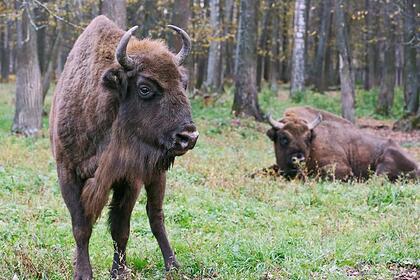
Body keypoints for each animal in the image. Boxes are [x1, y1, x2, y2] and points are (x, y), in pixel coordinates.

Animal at [49, 16, 199, 278]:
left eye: (183, 83)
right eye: (145, 88)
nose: (188, 136)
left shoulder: (129, 179)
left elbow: (120, 228)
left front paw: (118, 271)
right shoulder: (67, 173)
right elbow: (81, 227)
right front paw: (83, 272)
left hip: (157, 173)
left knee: (156, 216)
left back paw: (173, 265)